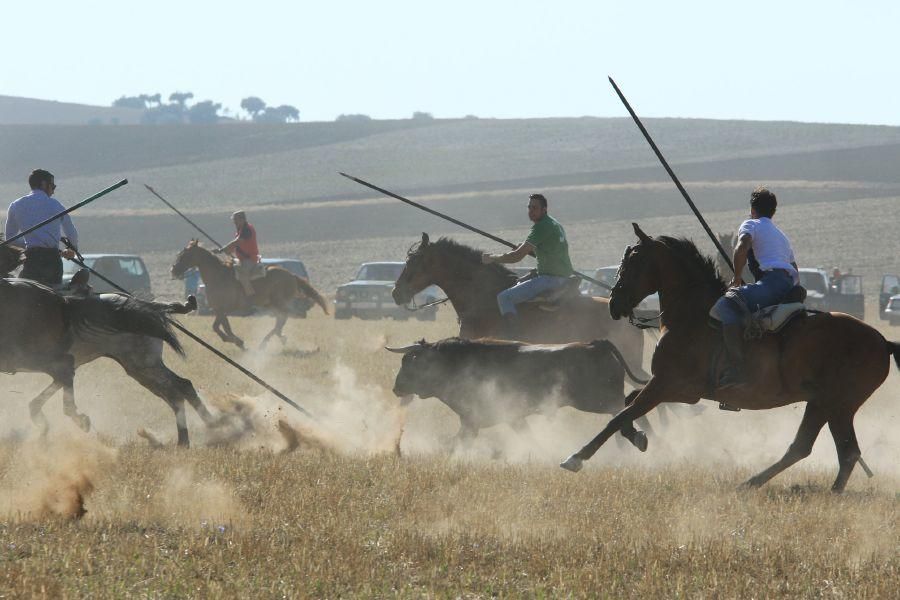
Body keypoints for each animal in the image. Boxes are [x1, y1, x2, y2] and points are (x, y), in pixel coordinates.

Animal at [0, 244, 217, 446]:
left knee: (177, 390)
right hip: (140, 365)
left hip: (141, 363)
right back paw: (191, 437)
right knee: (177, 390)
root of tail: (145, 305)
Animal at [171, 239, 328, 350]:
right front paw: (235, 341)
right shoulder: (219, 310)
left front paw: (237, 341)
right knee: (280, 319)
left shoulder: (222, 310)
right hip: (270, 304)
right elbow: (220, 327)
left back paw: (266, 341)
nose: (173, 270)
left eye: (185, 255)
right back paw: (276, 338)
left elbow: (220, 327)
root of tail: (292, 275)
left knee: (283, 317)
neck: (217, 276)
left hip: (278, 302)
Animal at [384, 338, 652, 450]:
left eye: (409, 362)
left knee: (624, 410)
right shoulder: (510, 418)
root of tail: (597, 343)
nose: (396, 388)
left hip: (598, 399)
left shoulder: (472, 421)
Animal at [560, 224, 896, 492]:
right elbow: (628, 404)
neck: (691, 315)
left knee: (825, 449)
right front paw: (639, 437)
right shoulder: (675, 389)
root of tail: (883, 342)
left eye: (633, 262)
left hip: (833, 403)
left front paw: (576, 457)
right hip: (829, 405)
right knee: (831, 450)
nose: (613, 303)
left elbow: (619, 414)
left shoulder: (671, 385)